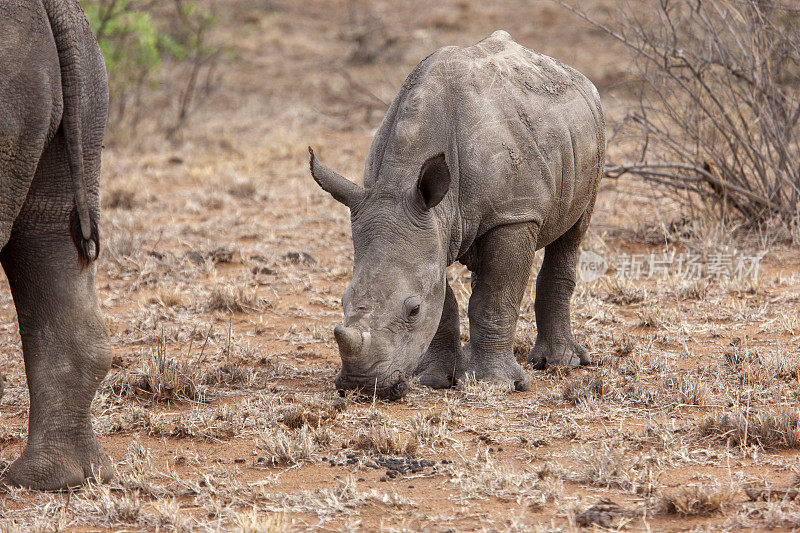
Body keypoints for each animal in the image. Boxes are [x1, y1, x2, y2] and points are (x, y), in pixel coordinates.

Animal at [310, 31, 604, 400]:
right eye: (342, 300)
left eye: (413, 310)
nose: (362, 386)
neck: (398, 183)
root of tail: (574, 73)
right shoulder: (431, 223)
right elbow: (445, 300)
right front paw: (436, 379)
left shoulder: (514, 215)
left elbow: (496, 299)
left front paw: (494, 384)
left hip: (593, 131)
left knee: (572, 233)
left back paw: (560, 363)